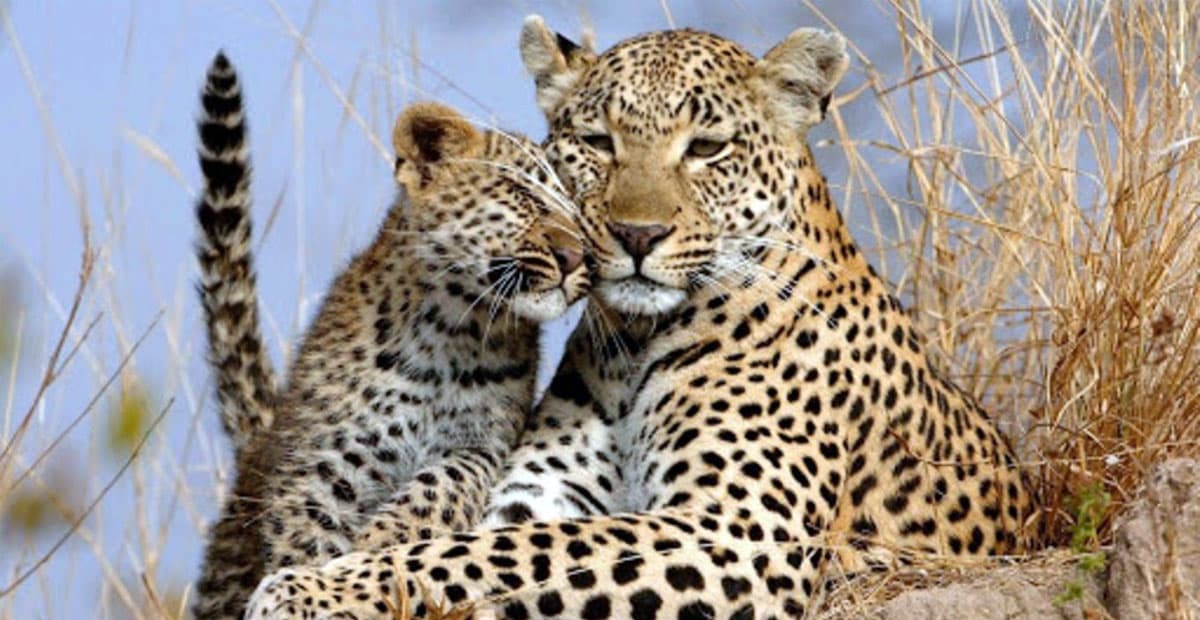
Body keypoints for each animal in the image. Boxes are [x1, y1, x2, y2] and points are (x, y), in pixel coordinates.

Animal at [188, 52, 591, 619]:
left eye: (585, 216)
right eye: (521, 195)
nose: (578, 258)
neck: (453, 331)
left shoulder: (481, 444)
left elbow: (442, 487)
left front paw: (382, 546)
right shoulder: (327, 458)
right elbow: (306, 534)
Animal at [246, 16, 1035, 620]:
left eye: (707, 148)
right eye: (598, 143)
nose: (636, 235)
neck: (634, 343)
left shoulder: (739, 532)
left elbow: (507, 555)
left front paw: (309, 587)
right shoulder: (535, 497)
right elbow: (487, 545)